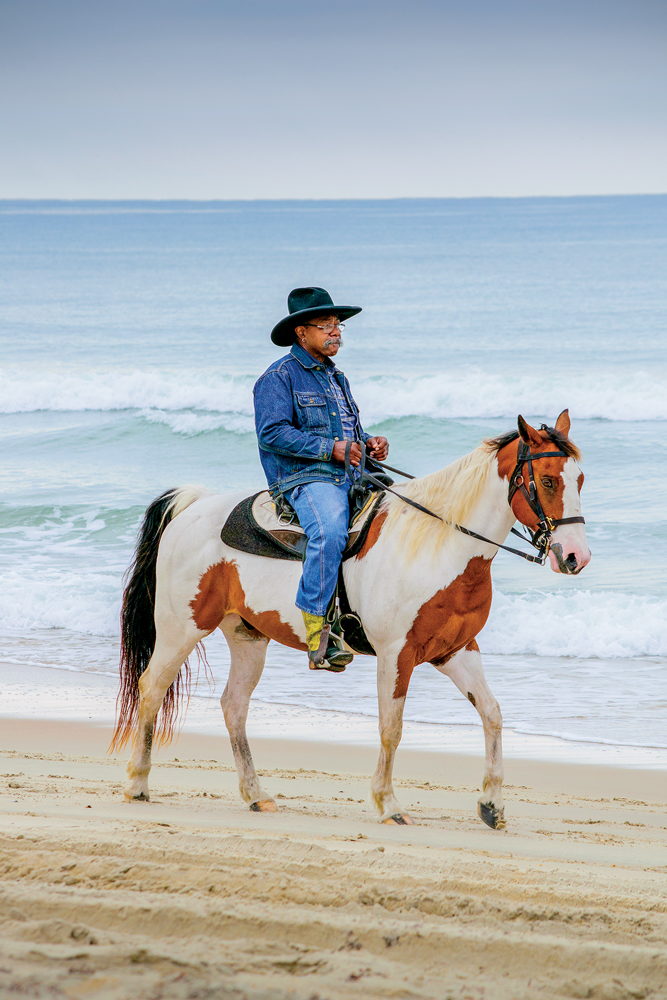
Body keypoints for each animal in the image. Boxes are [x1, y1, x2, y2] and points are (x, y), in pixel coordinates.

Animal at [112, 410, 592, 832]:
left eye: (580, 480)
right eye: (547, 480)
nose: (575, 557)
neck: (437, 545)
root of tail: (193, 506)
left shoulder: (456, 651)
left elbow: (492, 714)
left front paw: (491, 805)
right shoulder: (396, 654)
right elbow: (391, 728)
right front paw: (388, 804)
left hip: (247, 636)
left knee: (233, 705)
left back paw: (256, 795)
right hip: (181, 627)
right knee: (152, 688)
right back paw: (137, 783)